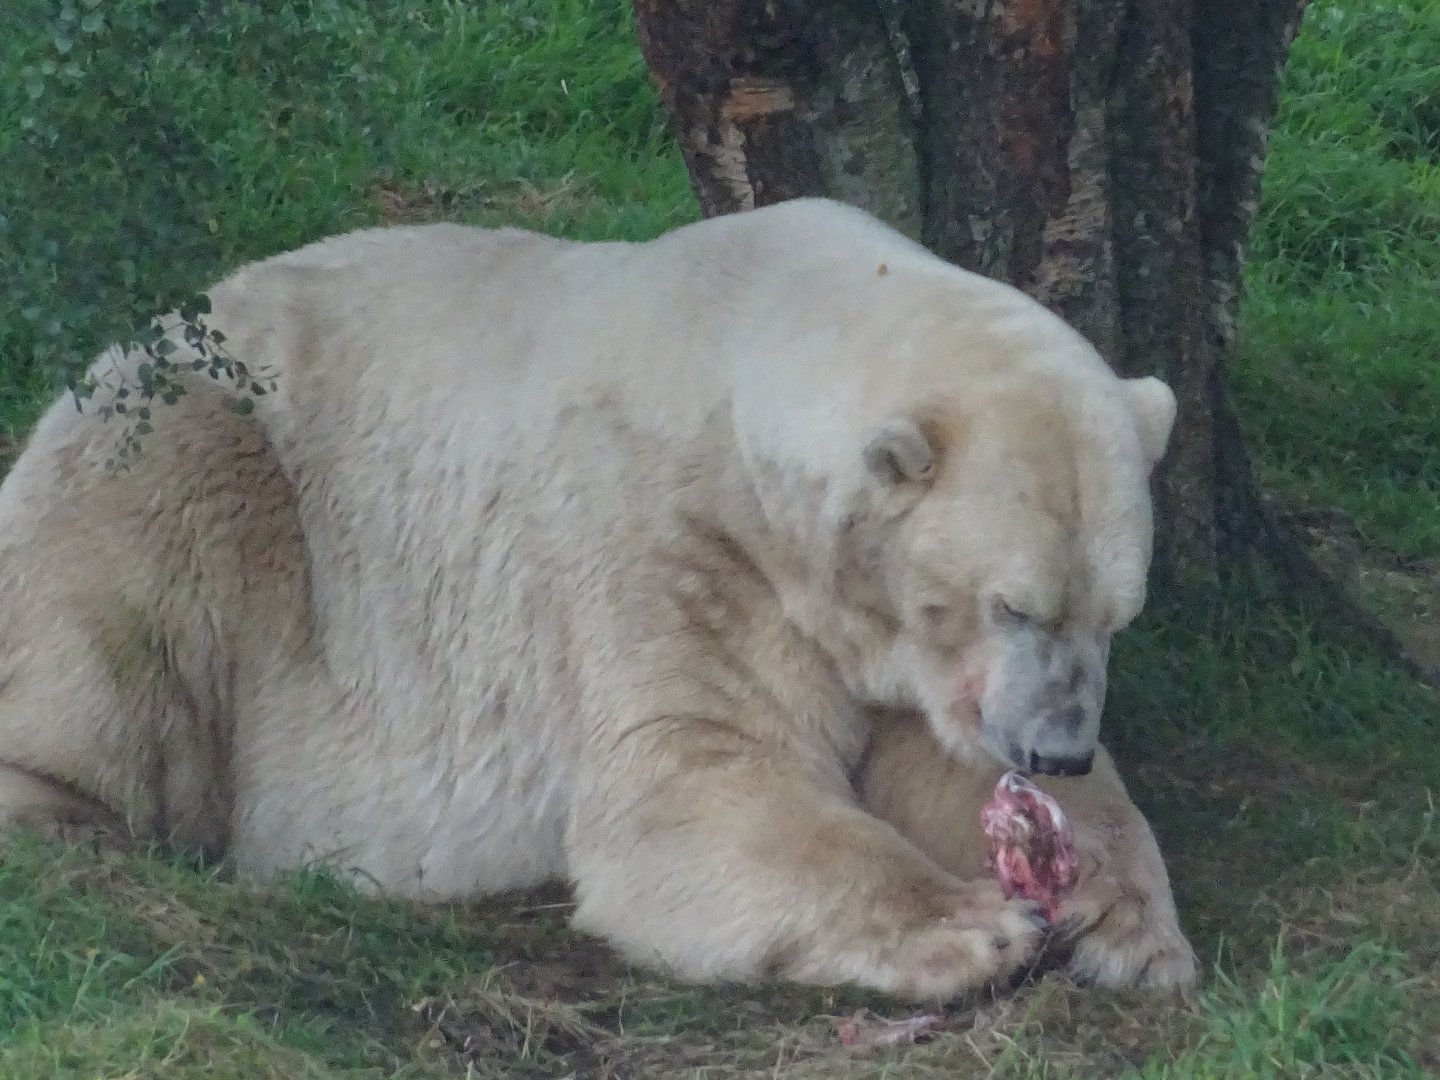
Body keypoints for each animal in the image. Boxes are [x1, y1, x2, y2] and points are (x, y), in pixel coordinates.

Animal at [0, 197, 1195, 999]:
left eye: (1114, 614)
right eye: (1012, 605)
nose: (1055, 750)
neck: (739, 341)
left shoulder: (875, 628)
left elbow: (941, 758)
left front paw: (1127, 924)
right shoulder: (671, 542)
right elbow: (692, 784)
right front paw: (978, 925)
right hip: (186, 447)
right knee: (113, 621)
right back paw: (74, 821)